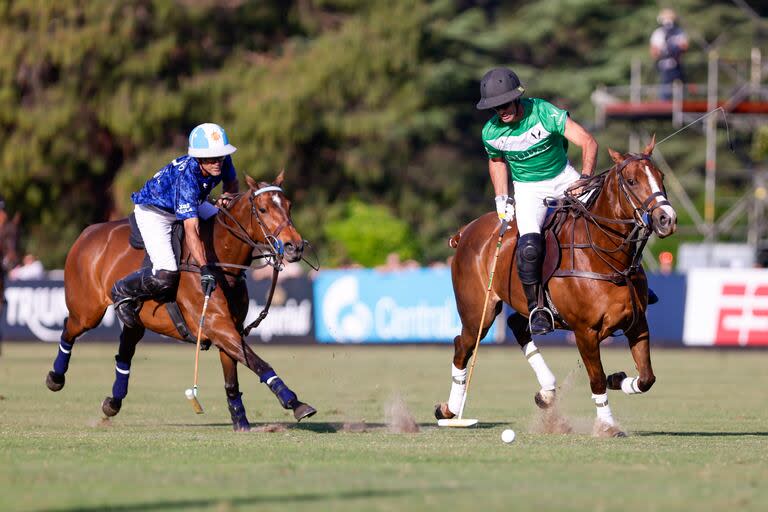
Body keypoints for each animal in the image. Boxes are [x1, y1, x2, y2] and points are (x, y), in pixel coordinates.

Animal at [45, 171, 316, 428]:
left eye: (289, 205)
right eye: (262, 209)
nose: (295, 246)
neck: (220, 261)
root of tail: (86, 233)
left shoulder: (232, 327)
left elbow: (232, 380)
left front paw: (241, 422)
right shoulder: (216, 325)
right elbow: (259, 363)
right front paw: (295, 403)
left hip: (135, 321)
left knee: (124, 354)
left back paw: (112, 403)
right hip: (87, 310)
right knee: (68, 330)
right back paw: (55, 378)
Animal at [438, 138, 680, 434]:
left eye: (661, 176)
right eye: (632, 181)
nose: (667, 219)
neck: (609, 258)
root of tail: (466, 231)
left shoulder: (637, 323)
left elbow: (647, 378)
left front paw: (619, 379)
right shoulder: (585, 331)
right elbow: (597, 378)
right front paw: (607, 425)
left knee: (518, 326)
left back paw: (547, 391)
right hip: (477, 312)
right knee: (463, 345)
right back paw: (450, 410)